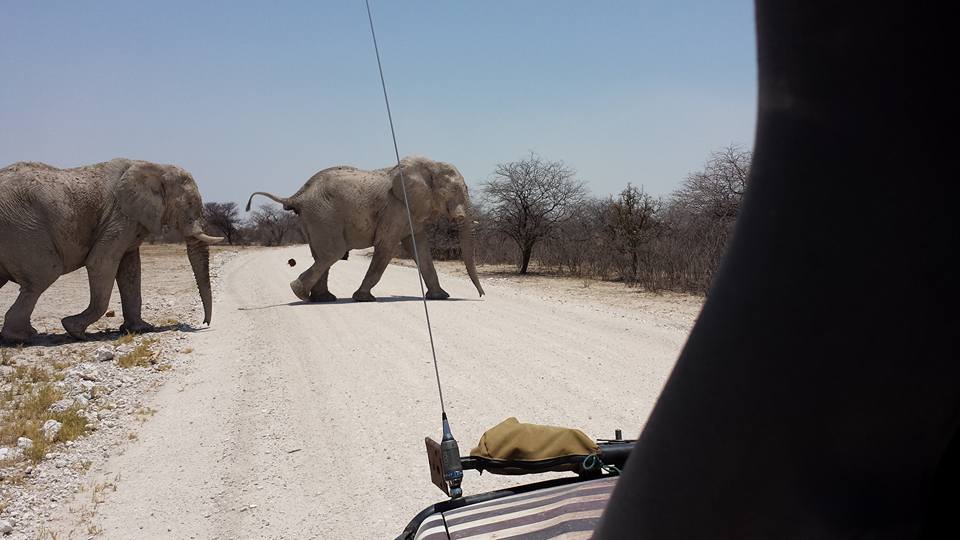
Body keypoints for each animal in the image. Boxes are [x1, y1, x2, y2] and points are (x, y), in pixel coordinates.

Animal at [0, 159, 223, 342]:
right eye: (189, 204)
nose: (205, 323)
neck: (156, 166)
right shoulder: (119, 216)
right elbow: (101, 262)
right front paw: (74, 330)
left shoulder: (130, 219)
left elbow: (130, 270)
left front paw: (139, 329)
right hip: (22, 228)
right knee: (44, 275)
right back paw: (22, 337)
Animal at [245, 156, 484, 303]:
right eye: (455, 190)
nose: (482, 295)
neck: (429, 166)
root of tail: (298, 195)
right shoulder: (396, 208)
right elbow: (386, 247)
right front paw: (363, 298)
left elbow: (421, 251)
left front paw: (441, 296)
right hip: (323, 214)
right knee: (332, 253)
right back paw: (300, 293)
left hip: (316, 218)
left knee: (322, 255)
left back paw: (321, 298)